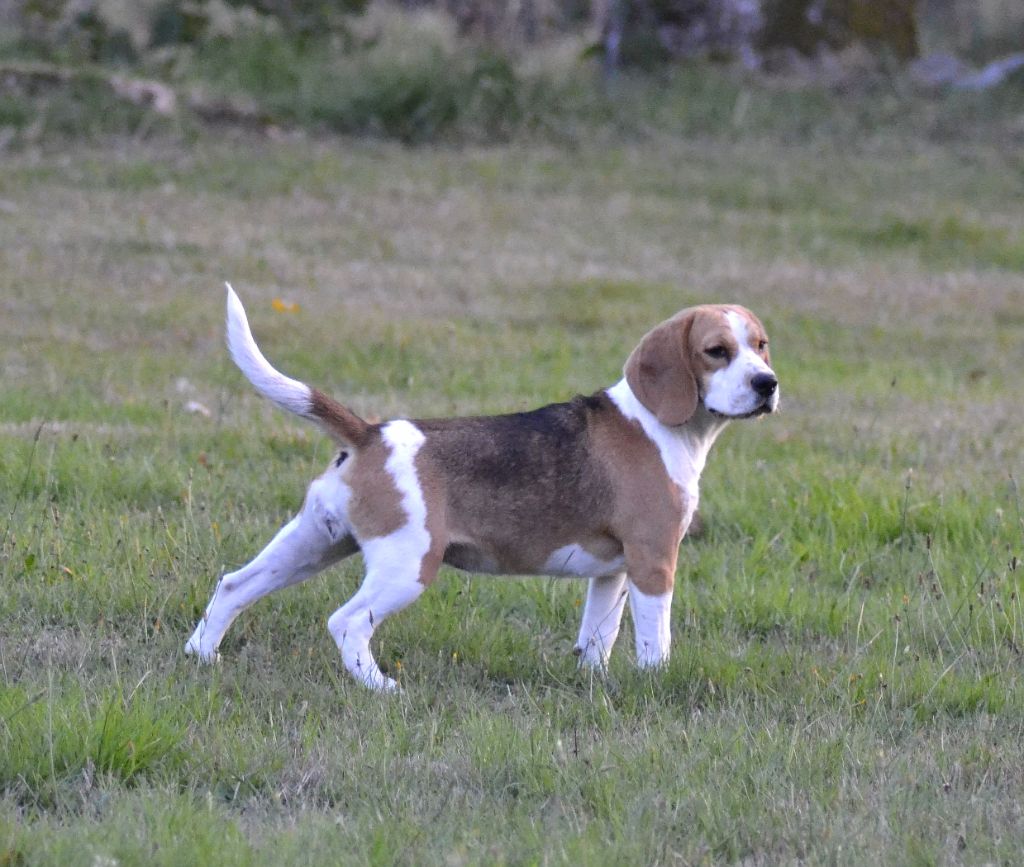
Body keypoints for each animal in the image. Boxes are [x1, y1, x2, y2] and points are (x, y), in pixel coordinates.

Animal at [186, 286, 774, 691]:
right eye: (716, 351)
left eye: (761, 346)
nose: (767, 384)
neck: (660, 424)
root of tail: (371, 432)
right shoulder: (654, 562)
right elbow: (656, 640)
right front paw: (654, 682)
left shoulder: (612, 573)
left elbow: (597, 638)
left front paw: (594, 684)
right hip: (407, 565)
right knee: (346, 622)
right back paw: (382, 688)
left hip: (312, 544)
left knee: (234, 586)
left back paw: (202, 656)